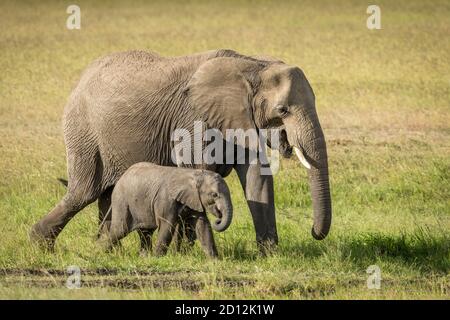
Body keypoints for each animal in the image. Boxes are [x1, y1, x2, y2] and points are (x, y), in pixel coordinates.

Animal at [100, 162, 234, 258]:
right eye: (214, 195)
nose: (218, 218)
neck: (193, 174)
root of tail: (121, 179)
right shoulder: (165, 199)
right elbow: (167, 226)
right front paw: (158, 258)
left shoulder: (194, 199)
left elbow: (202, 225)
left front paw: (215, 260)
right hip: (121, 201)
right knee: (120, 230)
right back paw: (105, 253)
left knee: (146, 232)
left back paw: (143, 257)